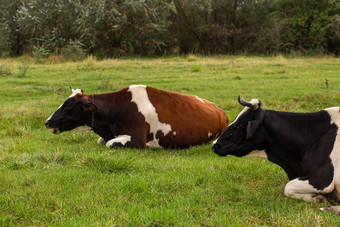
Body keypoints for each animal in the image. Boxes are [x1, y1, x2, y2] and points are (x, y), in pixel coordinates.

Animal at [43, 85, 227, 149]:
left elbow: (108, 144)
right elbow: (102, 141)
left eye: (68, 106)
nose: (47, 122)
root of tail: (219, 109)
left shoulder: (137, 139)